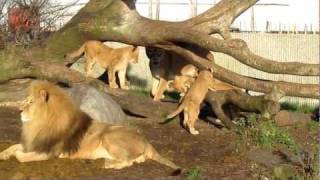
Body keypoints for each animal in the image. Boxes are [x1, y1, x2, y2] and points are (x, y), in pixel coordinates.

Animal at [0, 80, 180, 173]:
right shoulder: (32, 142)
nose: (19, 110)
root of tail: (145, 139)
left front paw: (15, 154)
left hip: (109, 135)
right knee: (137, 160)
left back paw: (109, 165)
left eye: (30, 102)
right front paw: (3, 154)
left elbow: (21, 156)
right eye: (25, 100)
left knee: (128, 162)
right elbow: (13, 146)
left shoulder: (49, 152)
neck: (37, 124)